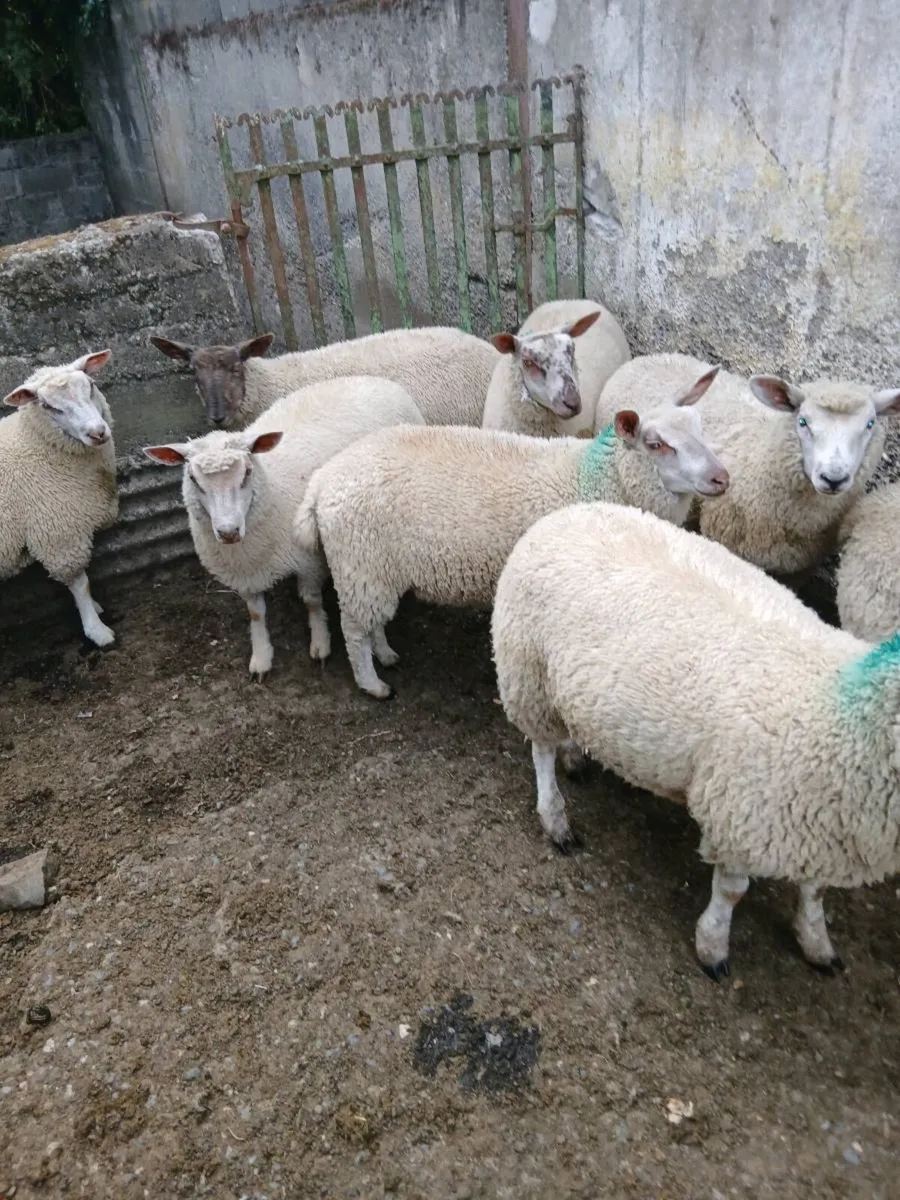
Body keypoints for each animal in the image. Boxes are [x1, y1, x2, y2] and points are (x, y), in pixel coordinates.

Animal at [1, 351, 118, 647]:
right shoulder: (59, 533)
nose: (97, 432)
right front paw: (96, 629)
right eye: (48, 406)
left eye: (90, 385)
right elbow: (80, 584)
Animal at [143, 376, 424, 678]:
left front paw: (320, 643)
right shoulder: (245, 574)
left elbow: (311, 601)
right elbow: (256, 613)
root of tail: (375, 378)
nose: (228, 532)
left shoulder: (308, 559)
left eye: (247, 473)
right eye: (193, 479)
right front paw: (261, 656)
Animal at [294, 363, 726, 699]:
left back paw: (386, 654)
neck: (596, 478)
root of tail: (322, 482)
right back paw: (373, 684)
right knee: (354, 630)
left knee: (372, 622)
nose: (721, 478)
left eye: (701, 427)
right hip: (358, 563)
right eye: (656, 444)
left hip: (375, 569)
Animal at [490, 499, 900, 979]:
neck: (846, 714)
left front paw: (817, 943)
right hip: (528, 672)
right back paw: (556, 821)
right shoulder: (742, 816)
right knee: (541, 751)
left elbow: (815, 892)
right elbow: (733, 891)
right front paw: (713, 948)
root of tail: (568, 512)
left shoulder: (819, 823)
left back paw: (575, 757)